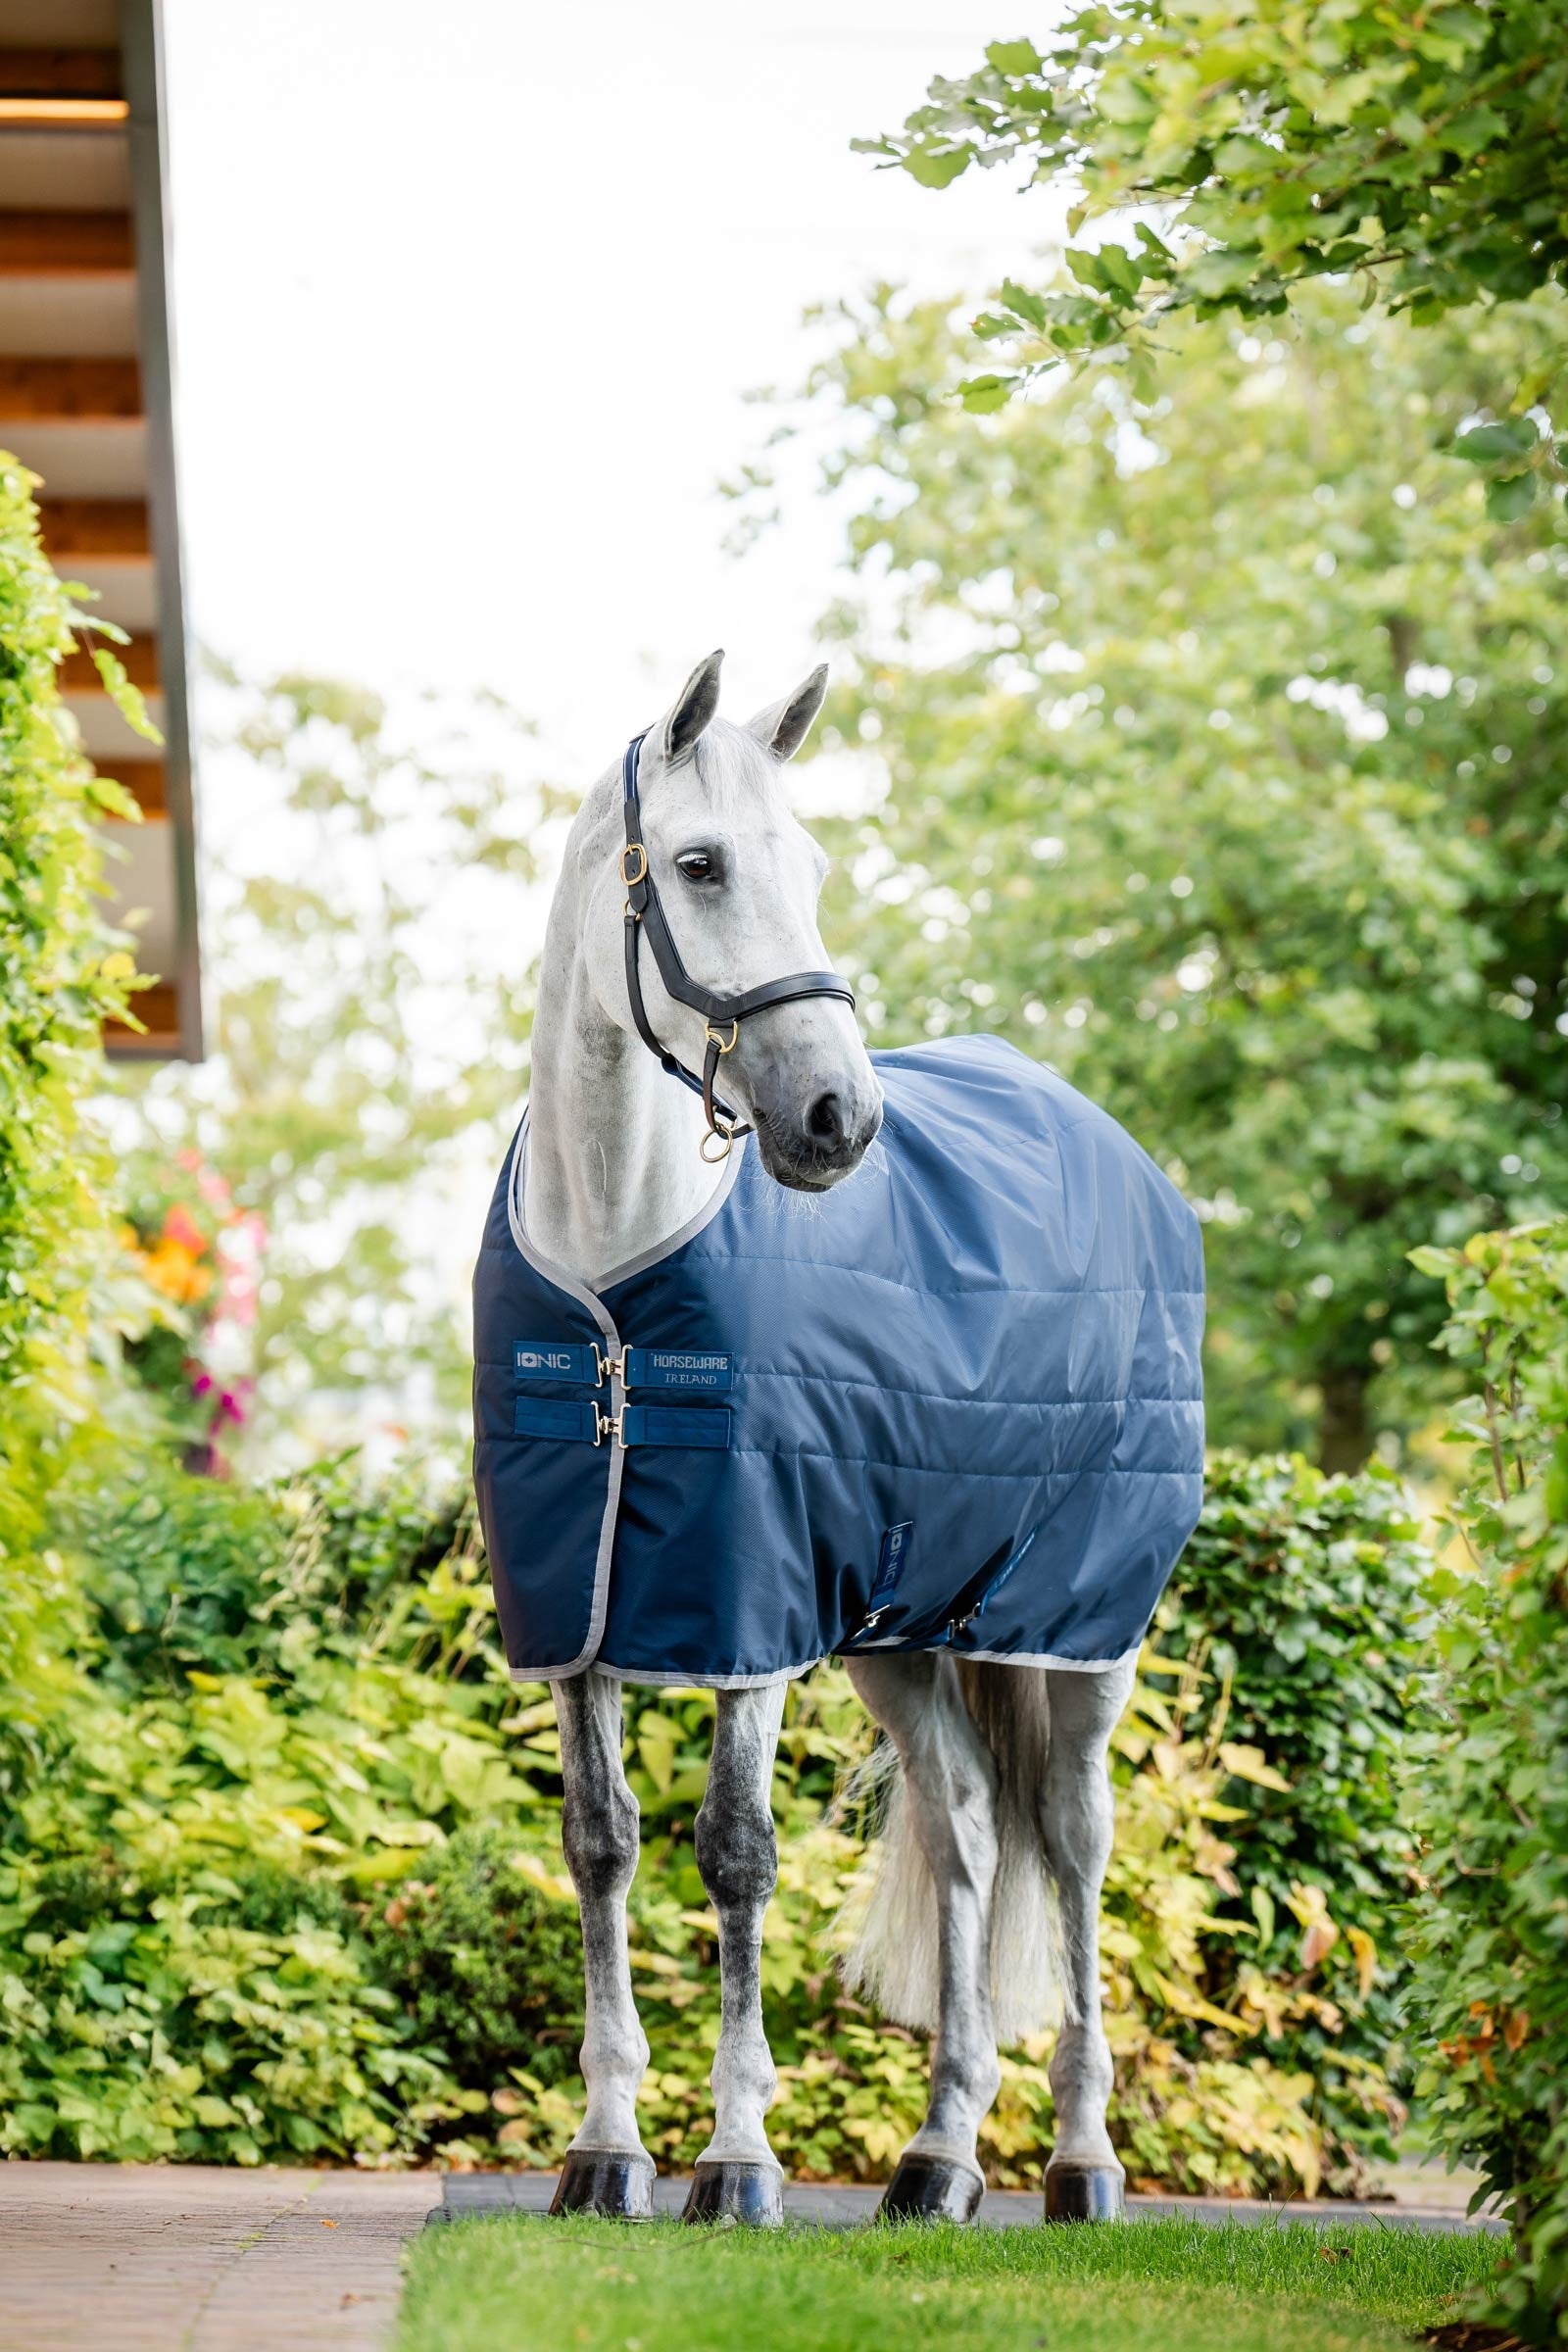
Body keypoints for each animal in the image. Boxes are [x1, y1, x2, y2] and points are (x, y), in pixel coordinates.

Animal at [472, 649, 1204, 2227]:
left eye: (810, 865)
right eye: (699, 862)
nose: (835, 1119)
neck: (615, 1283)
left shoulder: (750, 1605)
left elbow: (736, 1855)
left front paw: (738, 2160)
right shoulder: (579, 1609)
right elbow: (601, 1845)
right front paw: (604, 2151)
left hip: (1083, 1633)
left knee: (1075, 1848)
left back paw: (1080, 2161)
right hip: (905, 1634)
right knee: (973, 1834)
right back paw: (937, 2163)